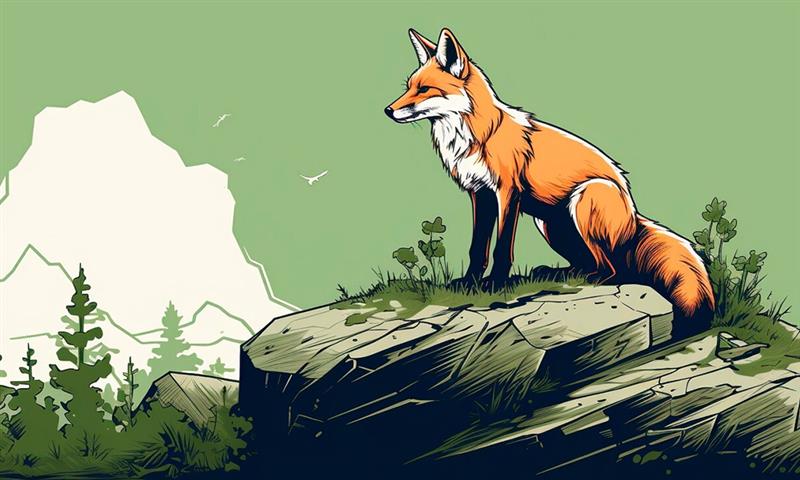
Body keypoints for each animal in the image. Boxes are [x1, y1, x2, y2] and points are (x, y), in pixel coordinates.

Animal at [385, 28, 714, 325]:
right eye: (408, 86)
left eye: (424, 89)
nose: (388, 110)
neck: (477, 137)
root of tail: (634, 217)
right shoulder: (480, 195)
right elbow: (477, 247)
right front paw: (470, 283)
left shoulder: (507, 194)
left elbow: (502, 248)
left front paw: (495, 284)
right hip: (549, 224)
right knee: (592, 262)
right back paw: (557, 273)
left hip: (584, 200)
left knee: (612, 270)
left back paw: (579, 277)